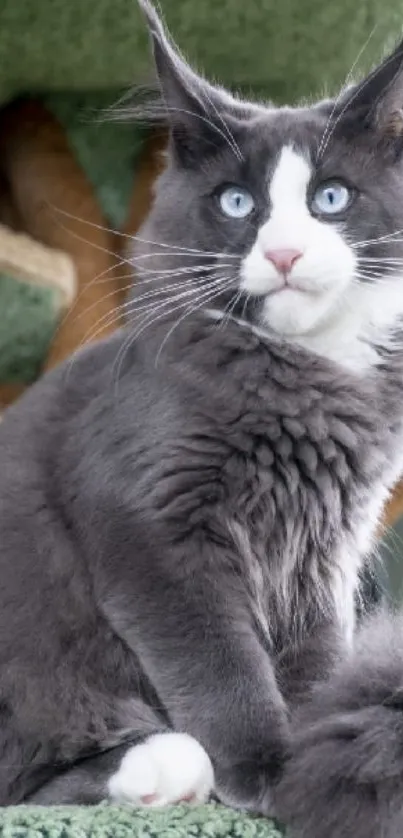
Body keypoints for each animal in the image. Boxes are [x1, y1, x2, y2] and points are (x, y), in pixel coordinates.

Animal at [0, 1, 403, 832]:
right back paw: (160, 765)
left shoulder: (322, 556)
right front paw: (267, 771)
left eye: (331, 198)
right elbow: (222, 664)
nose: (282, 255)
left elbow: (313, 666)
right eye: (237, 204)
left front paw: (311, 756)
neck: (303, 384)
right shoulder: (154, 528)